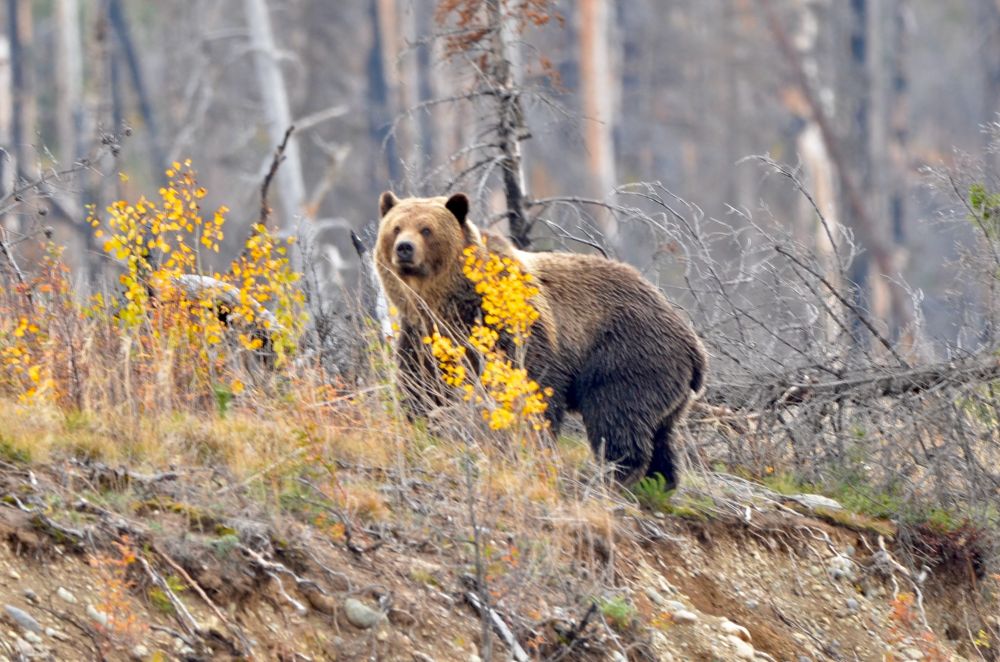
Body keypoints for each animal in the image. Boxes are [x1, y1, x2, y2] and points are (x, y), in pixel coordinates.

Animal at [375, 191, 707, 489]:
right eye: (396, 227)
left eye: (426, 229)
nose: (404, 248)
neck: (450, 301)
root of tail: (694, 346)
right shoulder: (426, 334)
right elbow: (420, 380)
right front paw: (417, 419)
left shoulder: (511, 319)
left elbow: (532, 378)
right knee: (661, 434)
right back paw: (659, 483)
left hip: (628, 354)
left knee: (616, 417)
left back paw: (612, 478)